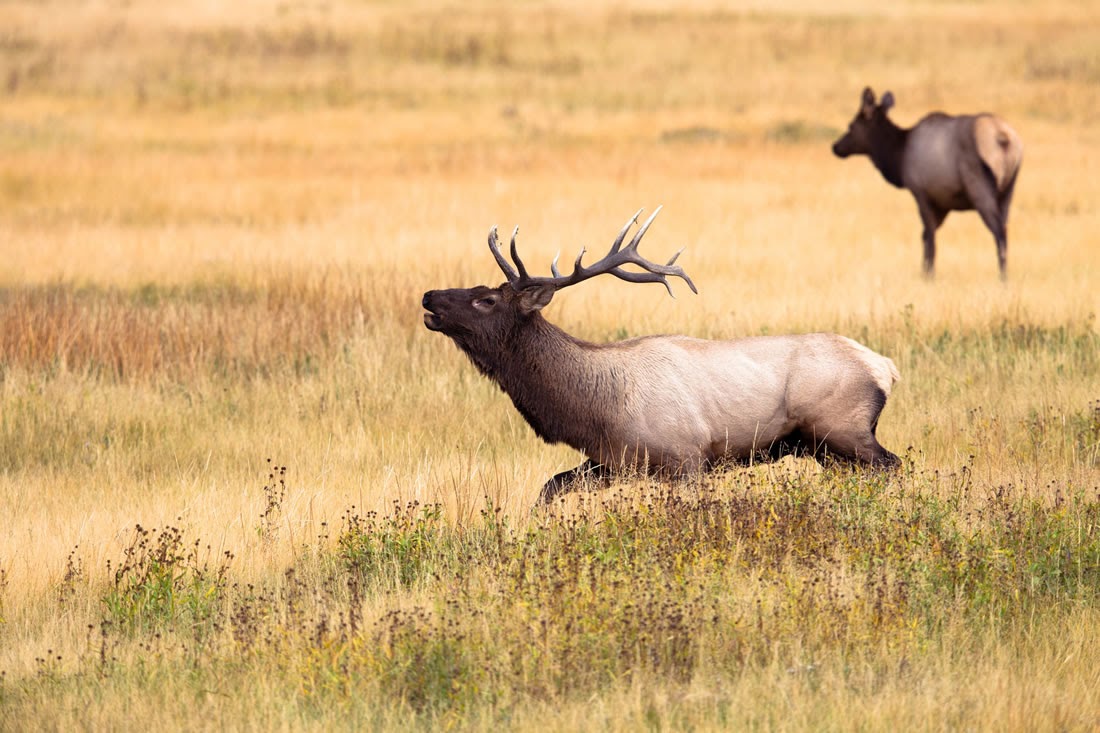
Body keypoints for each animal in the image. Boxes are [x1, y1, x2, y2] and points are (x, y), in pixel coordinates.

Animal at [422, 208, 901, 505]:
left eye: (485, 299)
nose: (429, 296)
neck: (596, 409)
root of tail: (886, 368)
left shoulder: (687, 457)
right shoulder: (610, 462)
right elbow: (550, 489)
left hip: (842, 428)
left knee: (893, 465)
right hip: (824, 449)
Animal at [832, 87, 1023, 280]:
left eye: (851, 125)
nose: (836, 147)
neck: (898, 157)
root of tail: (1003, 138)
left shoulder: (920, 192)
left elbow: (929, 236)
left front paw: (929, 275)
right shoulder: (943, 203)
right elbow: (926, 235)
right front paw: (925, 271)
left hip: (979, 187)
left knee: (999, 232)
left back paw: (1002, 278)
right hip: (1008, 191)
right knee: (1004, 229)